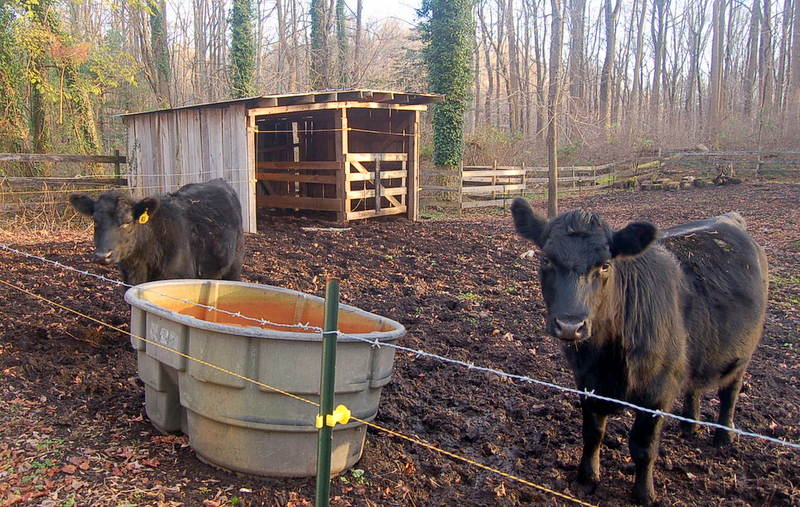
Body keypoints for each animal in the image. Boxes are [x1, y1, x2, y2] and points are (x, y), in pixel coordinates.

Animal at [510, 198, 768, 505]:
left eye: (605, 265)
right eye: (546, 259)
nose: (570, 325)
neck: (607, 359)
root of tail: (727, 218)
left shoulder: (657, 392)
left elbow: (643, 446)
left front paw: (644, 494)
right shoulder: (587, 382)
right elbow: (593, 433)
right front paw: (587, 479)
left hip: (742, 355)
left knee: (730, 391)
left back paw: (724, 437)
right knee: (694, 386)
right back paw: (689, 426)